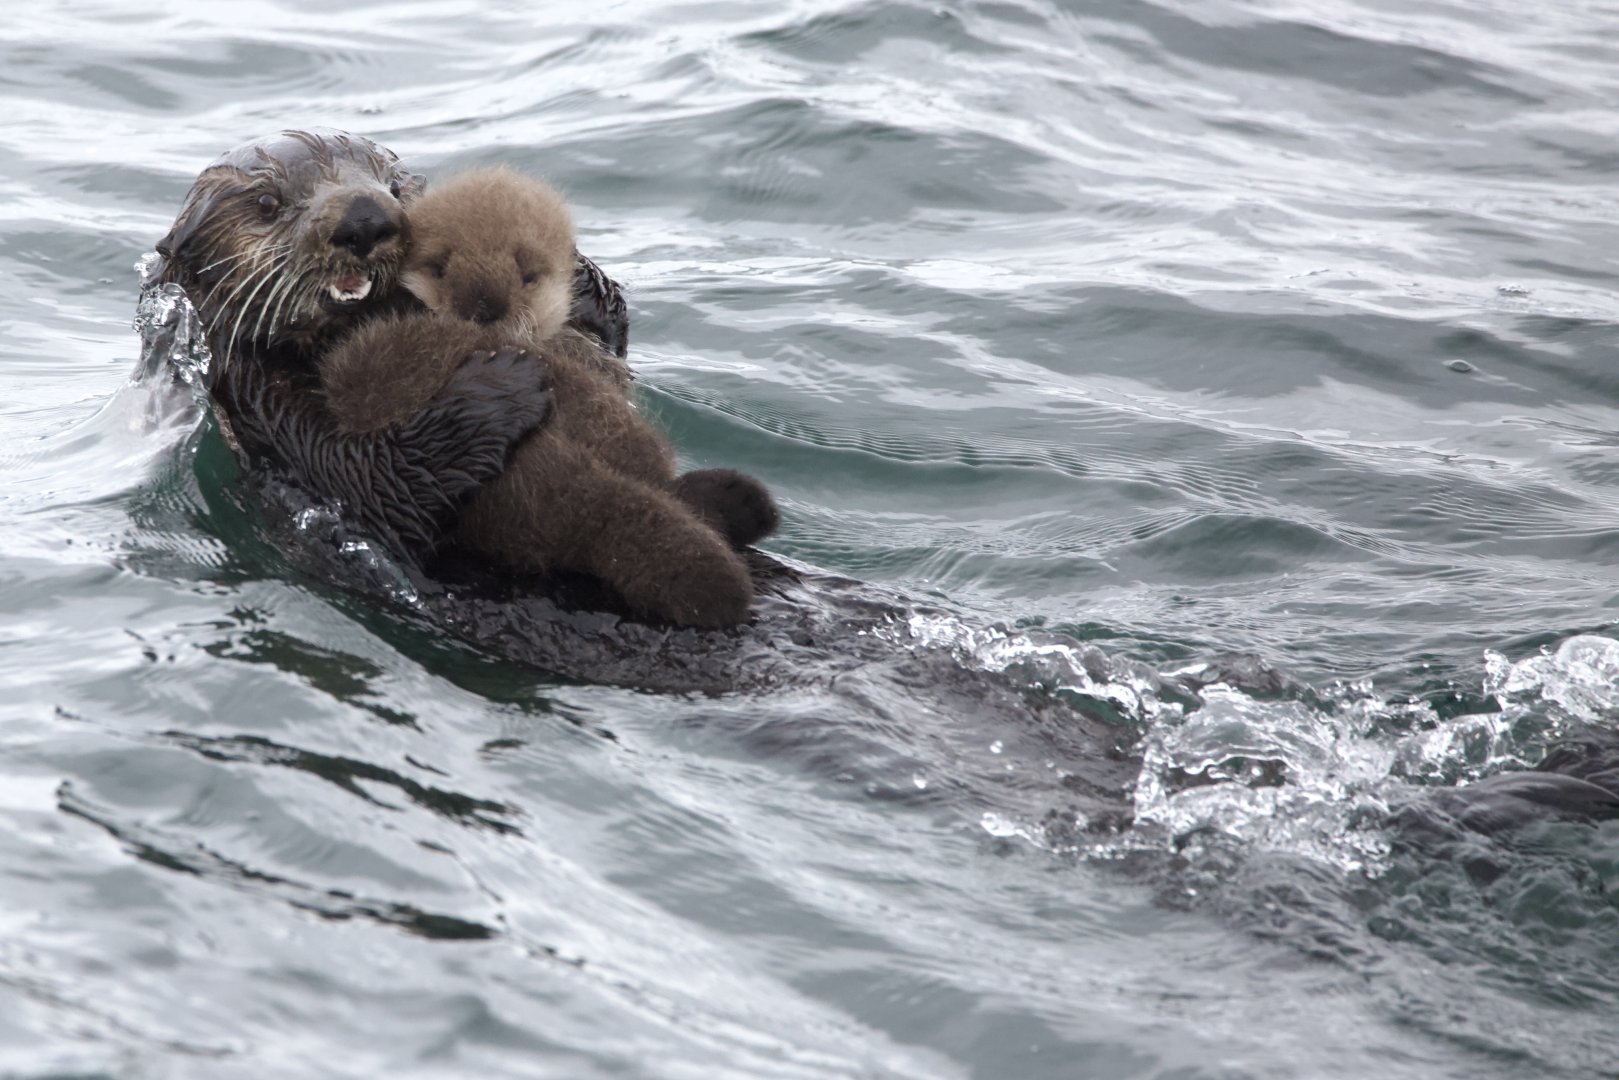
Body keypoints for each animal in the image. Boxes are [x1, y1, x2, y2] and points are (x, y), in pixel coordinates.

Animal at [154, 129, 629, 564]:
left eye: (395, 189)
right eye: (267, 203)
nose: (364, 218)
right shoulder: (269, 411)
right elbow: (380, 484)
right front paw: (501, 382)